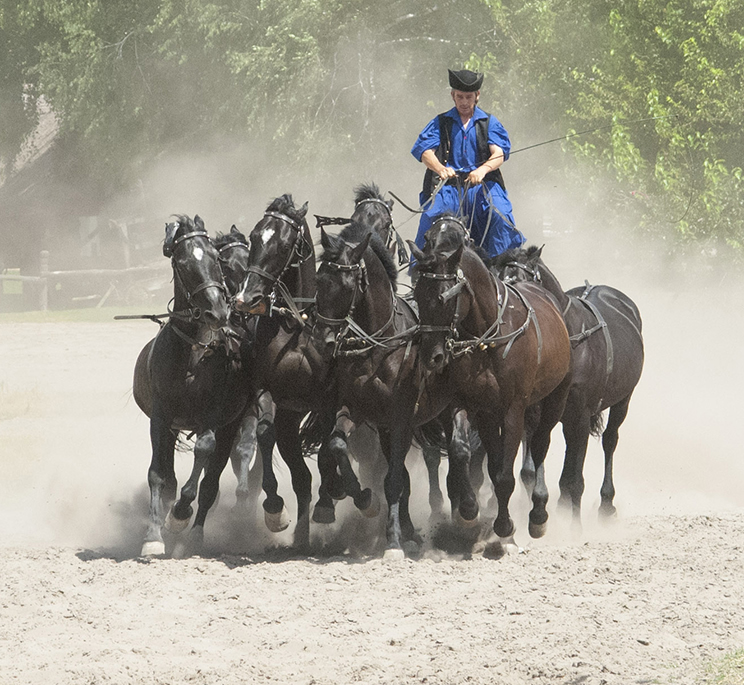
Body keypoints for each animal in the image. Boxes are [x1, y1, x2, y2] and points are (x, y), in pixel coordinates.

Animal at [134, 214, 250, 556]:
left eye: (215, 259)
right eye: (184, 262)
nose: (218, 310)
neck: (191, 354)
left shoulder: (213, 415)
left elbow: (204, 453)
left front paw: (180, 515)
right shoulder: (161, 417)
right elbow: (158, 475)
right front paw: (153, 535)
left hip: (231, 424)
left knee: (211, 480)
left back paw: (194, 533)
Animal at [410, 216, 572, 548]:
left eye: (444, 296)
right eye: (418, 293)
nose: (432, 356)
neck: (488, 335)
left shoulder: (514, 409)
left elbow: (505, 473)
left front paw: (505, 525)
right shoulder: (468, 404)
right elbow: (464, 452)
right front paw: (468, 510)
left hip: (553, 399)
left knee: (540, 444)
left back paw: (538, 513)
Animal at [492, 246, 644, 524]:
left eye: (518, 279)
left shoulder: (581, 414)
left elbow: (576, 478)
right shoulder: (534, 410)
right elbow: (531, 465)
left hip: (623, 398)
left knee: (610, 439)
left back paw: (606, 502)